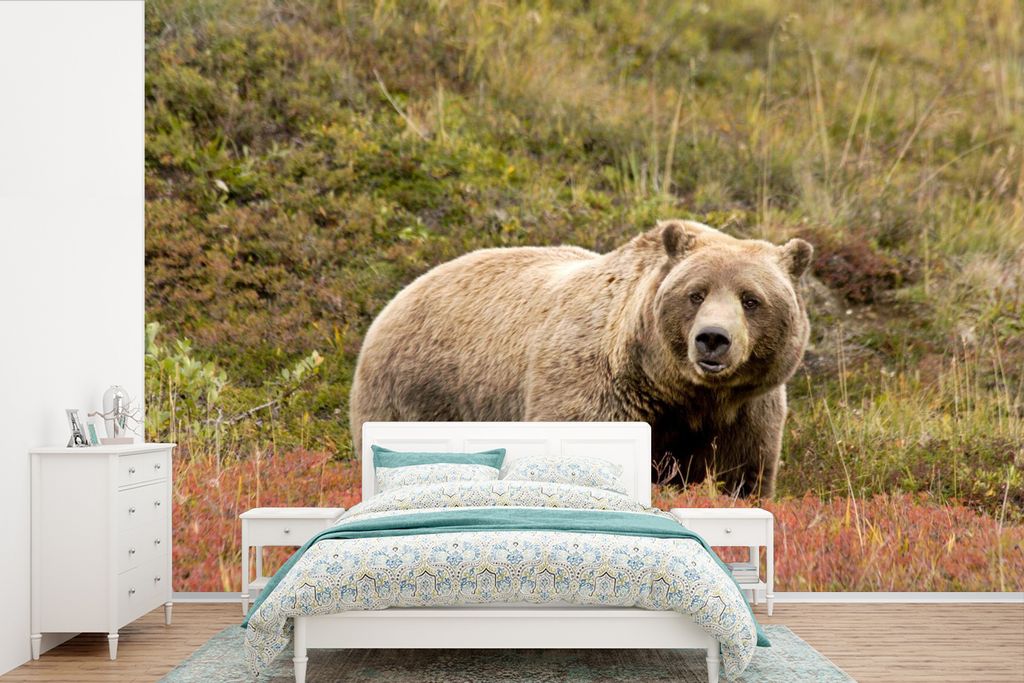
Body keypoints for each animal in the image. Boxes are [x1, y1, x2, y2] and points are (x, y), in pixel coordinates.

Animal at [349, 220, 813, 497]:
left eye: (751, 299)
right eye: (695, 293)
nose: (712, 339)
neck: (677, 392)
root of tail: (401, 294)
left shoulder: (744, 414)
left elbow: (740, 473)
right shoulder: (596, 386)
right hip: (419, 387)